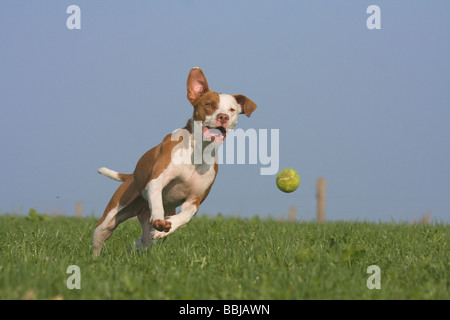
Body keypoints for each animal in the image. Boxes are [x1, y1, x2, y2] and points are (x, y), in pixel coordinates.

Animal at [93, 67, 256, 255]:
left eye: (231, 109)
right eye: (209, 105)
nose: (223, 117)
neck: (198, 150)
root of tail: (131, 176)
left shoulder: (194, 200)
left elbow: (185, 216)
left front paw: (168, 227)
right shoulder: (157, 181)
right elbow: (157, 199)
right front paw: (159, 220)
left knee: (145, 240)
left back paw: (140, 243)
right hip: (113, 214)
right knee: (101, 234)